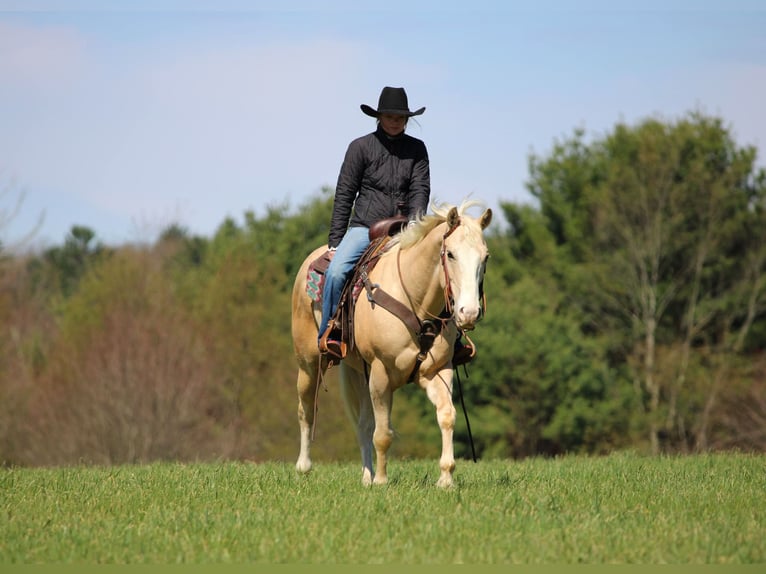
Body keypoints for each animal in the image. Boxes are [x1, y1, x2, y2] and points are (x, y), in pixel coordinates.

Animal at [291, 200, 492, 488]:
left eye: (485, 257)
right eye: (451, 254)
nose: (469, 313)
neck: (414, 299)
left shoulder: (437, 371)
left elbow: (446, 415)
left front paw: (446, 478)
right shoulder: (381, 373)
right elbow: (383, 433)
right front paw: (382, 481)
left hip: (357, 371)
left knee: (362, 423)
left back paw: (366, 476)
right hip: (308, 362)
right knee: (306, 409)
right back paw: (304, 468)